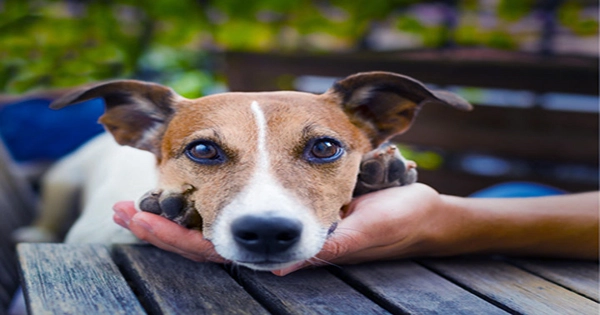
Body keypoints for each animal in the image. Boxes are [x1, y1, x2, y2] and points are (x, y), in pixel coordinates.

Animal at [14, 71, 472, 272]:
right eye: (202, 150)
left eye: (325, 147)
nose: (267, 232)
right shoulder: (92, 231)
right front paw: (169, 210)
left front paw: (379, 173)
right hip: (65, 180)